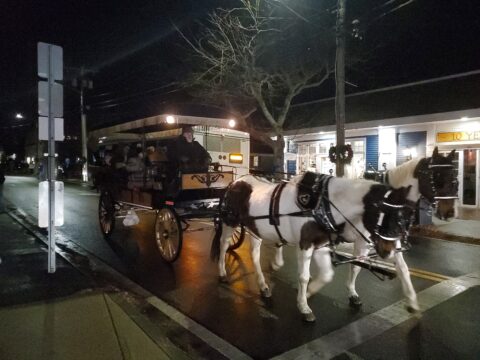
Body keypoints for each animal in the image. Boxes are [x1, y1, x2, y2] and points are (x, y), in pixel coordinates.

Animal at [212, 173, 410, 322]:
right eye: (383, 216)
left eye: (401, 218)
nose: (390, 251)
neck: (322, 205)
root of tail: (235, 182)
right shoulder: (305, 245)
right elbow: (304, 276)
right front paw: (304, 307)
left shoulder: (321, 245)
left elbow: (326, 275)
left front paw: (308, 293)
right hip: (230, 222)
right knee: (223, 245)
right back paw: (222, 273)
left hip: (255, 229)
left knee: (254, 255)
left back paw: (263, 286)